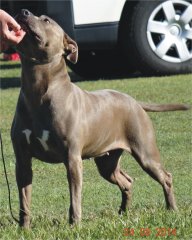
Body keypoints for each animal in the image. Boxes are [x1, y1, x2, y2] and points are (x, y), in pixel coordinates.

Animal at [12, 8, 189, 227]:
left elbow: (75, 198)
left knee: (166, 177)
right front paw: (24, 228)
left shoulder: (72, 158)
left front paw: (75, 225)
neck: (38, 90)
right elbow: (24, 200)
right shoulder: (22, 160)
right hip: (107, 162)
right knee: (127, 181)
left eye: (46, 20)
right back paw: (123, 212)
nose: (23, 11)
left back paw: (171, 209)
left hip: (146, 153)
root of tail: (134, 101)